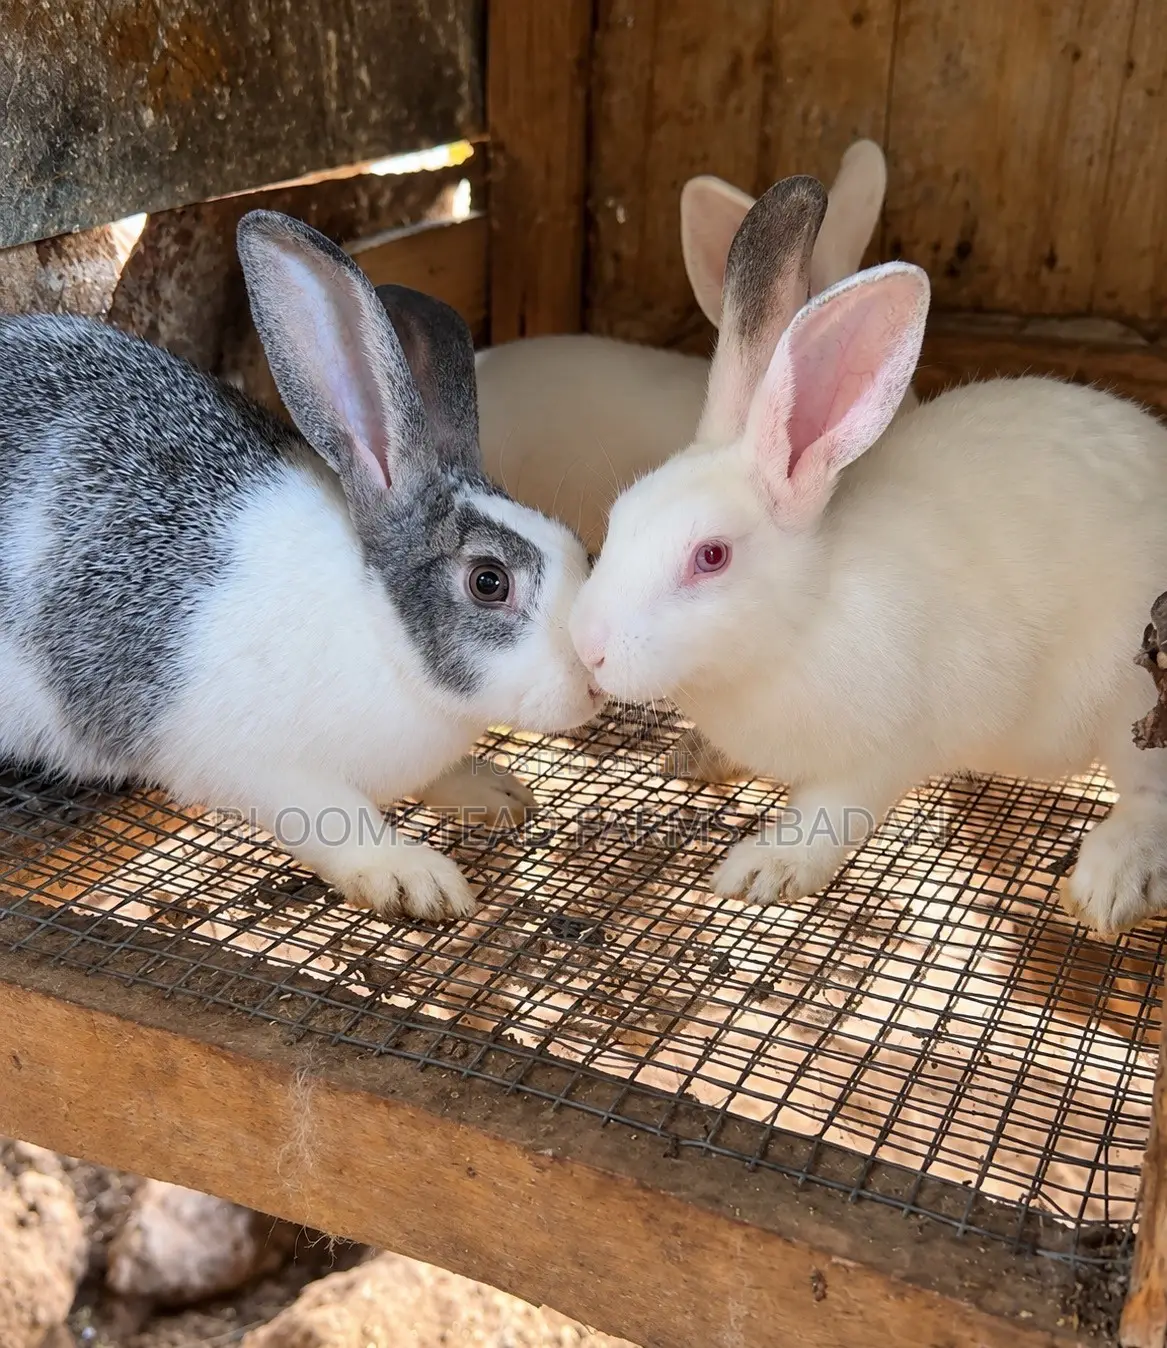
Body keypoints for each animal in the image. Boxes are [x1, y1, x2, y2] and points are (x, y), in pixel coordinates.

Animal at [0, 209, 604, 922]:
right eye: (489, 581)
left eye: (577, 544)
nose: (598, 679)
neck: (378, 626)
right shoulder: (257, 764)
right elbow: (337, 819)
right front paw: (414, 878)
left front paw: (491, 789)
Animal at [569, 172, 1167, 939]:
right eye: (618, 521)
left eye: (711, 556)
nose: (586, 648)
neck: (802, 622)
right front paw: (701, 757)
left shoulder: (882, 755)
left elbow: (828, 818)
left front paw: (762, 870)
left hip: (1134, 698)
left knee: (1152, 797)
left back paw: (1111, 880)